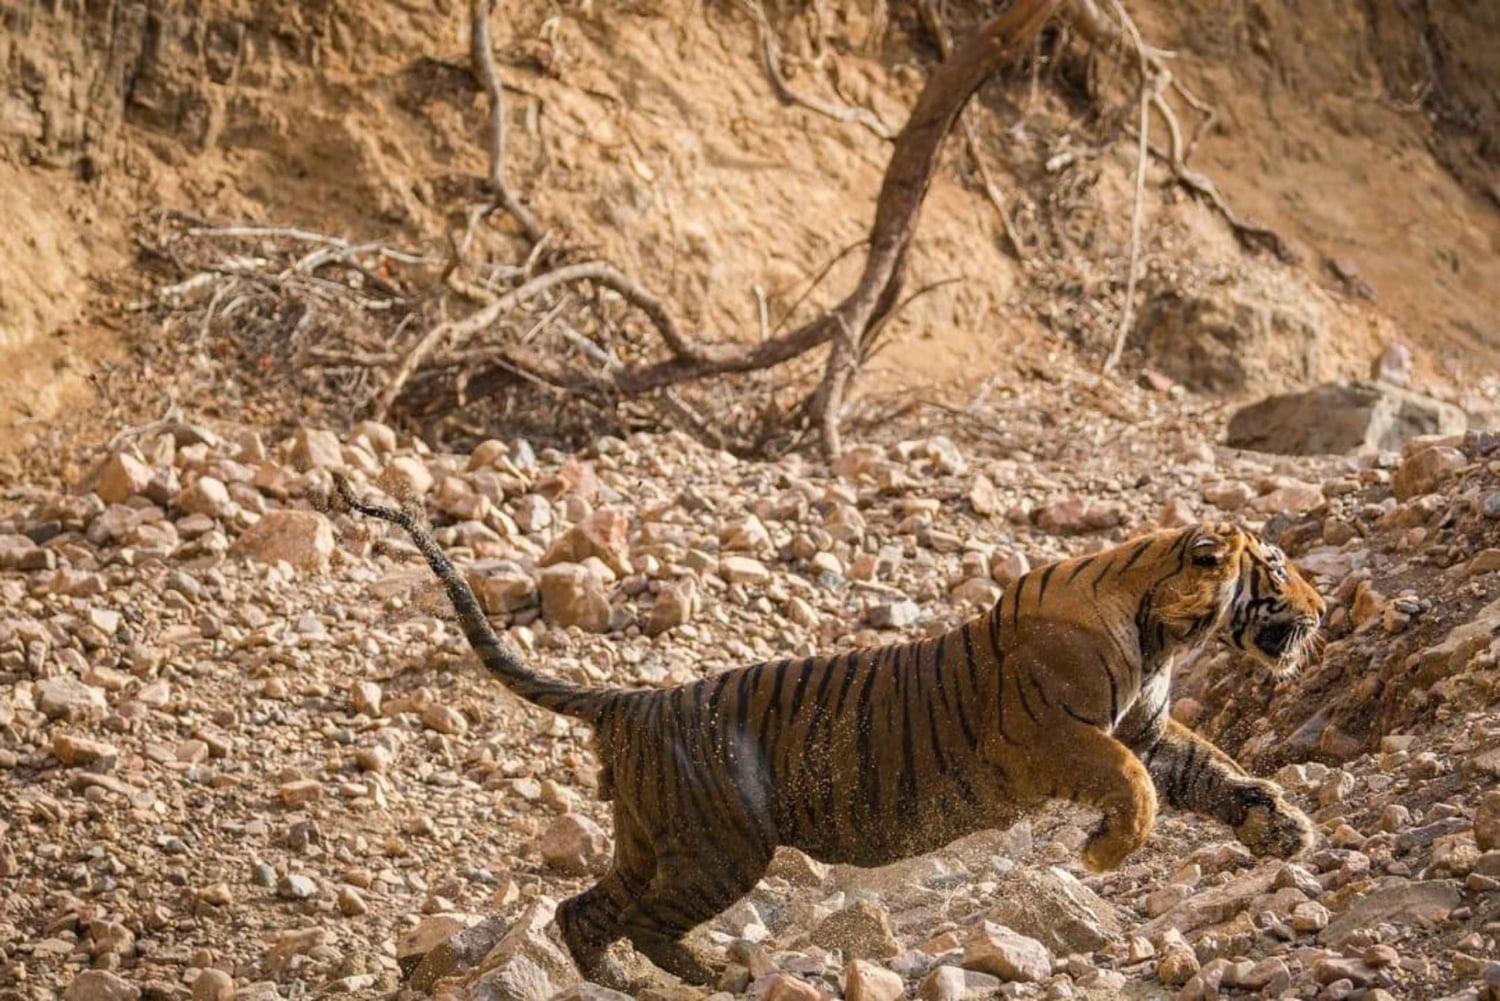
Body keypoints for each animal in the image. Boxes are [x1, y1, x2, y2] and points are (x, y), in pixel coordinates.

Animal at [331, 474, 1324, 986]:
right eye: (1277, 567)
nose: (1319, 611)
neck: (1162, 631)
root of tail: (631, 700)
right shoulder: (1057, 737)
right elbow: (1138, 785)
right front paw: (1103, 853)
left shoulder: (1149, 728)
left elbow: (1213, 771)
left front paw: (1284, 827)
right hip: (723, 847)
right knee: (642, 919)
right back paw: (712, 977)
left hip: (652, 841)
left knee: (585, 914)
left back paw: (623, 984)